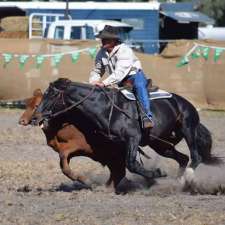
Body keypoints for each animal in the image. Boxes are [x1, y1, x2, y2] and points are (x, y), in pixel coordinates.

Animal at [32, 78, 219, 182]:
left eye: (52, 95)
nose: (35, 117)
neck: (106, 108)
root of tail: (185, 103)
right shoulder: (117, 144)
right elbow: (123, 164)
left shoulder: (133, 138)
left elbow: (131, 164)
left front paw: (156, 174)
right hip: (161, 144)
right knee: (183, 158)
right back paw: (178, 180)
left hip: (188, 128)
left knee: (195, 156)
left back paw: (187, 177)